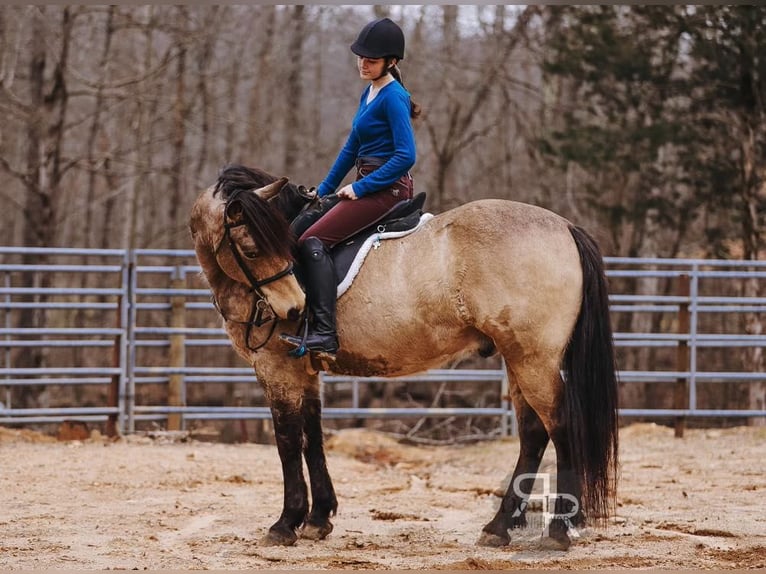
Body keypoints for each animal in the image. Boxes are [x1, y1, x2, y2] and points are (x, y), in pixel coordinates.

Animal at [189, 164, 620, 552]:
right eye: (252, 250)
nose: (296, 309)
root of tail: (564, 227)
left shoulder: (276, 367)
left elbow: (287, 440)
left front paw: (285, 523)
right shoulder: (305, 371)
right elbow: (313, 436)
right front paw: (318, 519)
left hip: (534, 360)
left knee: (560, 427)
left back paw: (559, 530)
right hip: (518, 360)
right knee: (533, 433)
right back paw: (498, 528)